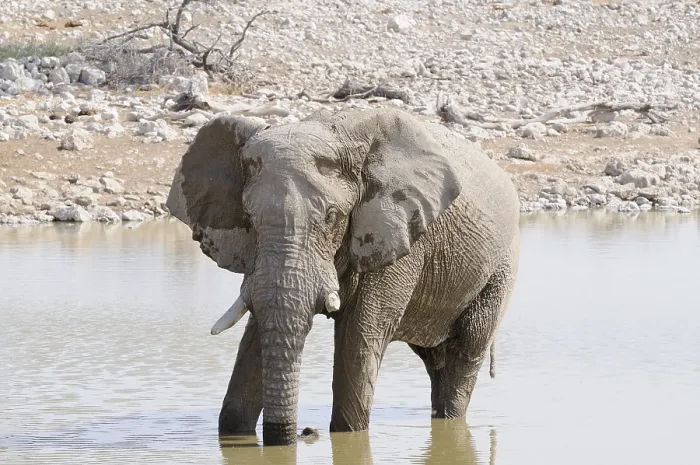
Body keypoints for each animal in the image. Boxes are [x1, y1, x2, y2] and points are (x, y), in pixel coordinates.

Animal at [166, 106, 520, 446]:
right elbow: (257, 334)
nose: (306, 433)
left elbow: (358, 334)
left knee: (467, 348)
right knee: (437, 361)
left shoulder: (397, 235)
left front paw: (347, 436)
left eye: (332, 217)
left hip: (502, 266)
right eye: (249, 219)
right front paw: (236, 434)